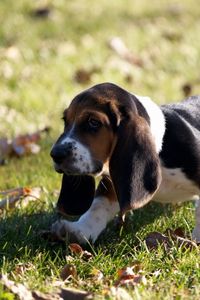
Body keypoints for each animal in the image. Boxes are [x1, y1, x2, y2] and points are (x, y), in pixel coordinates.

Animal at [49, 81, 200, 244]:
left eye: (93, 122)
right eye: (65, 121)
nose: (55, 154)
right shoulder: (113, 181)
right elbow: (98, 205)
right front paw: (79, 230)